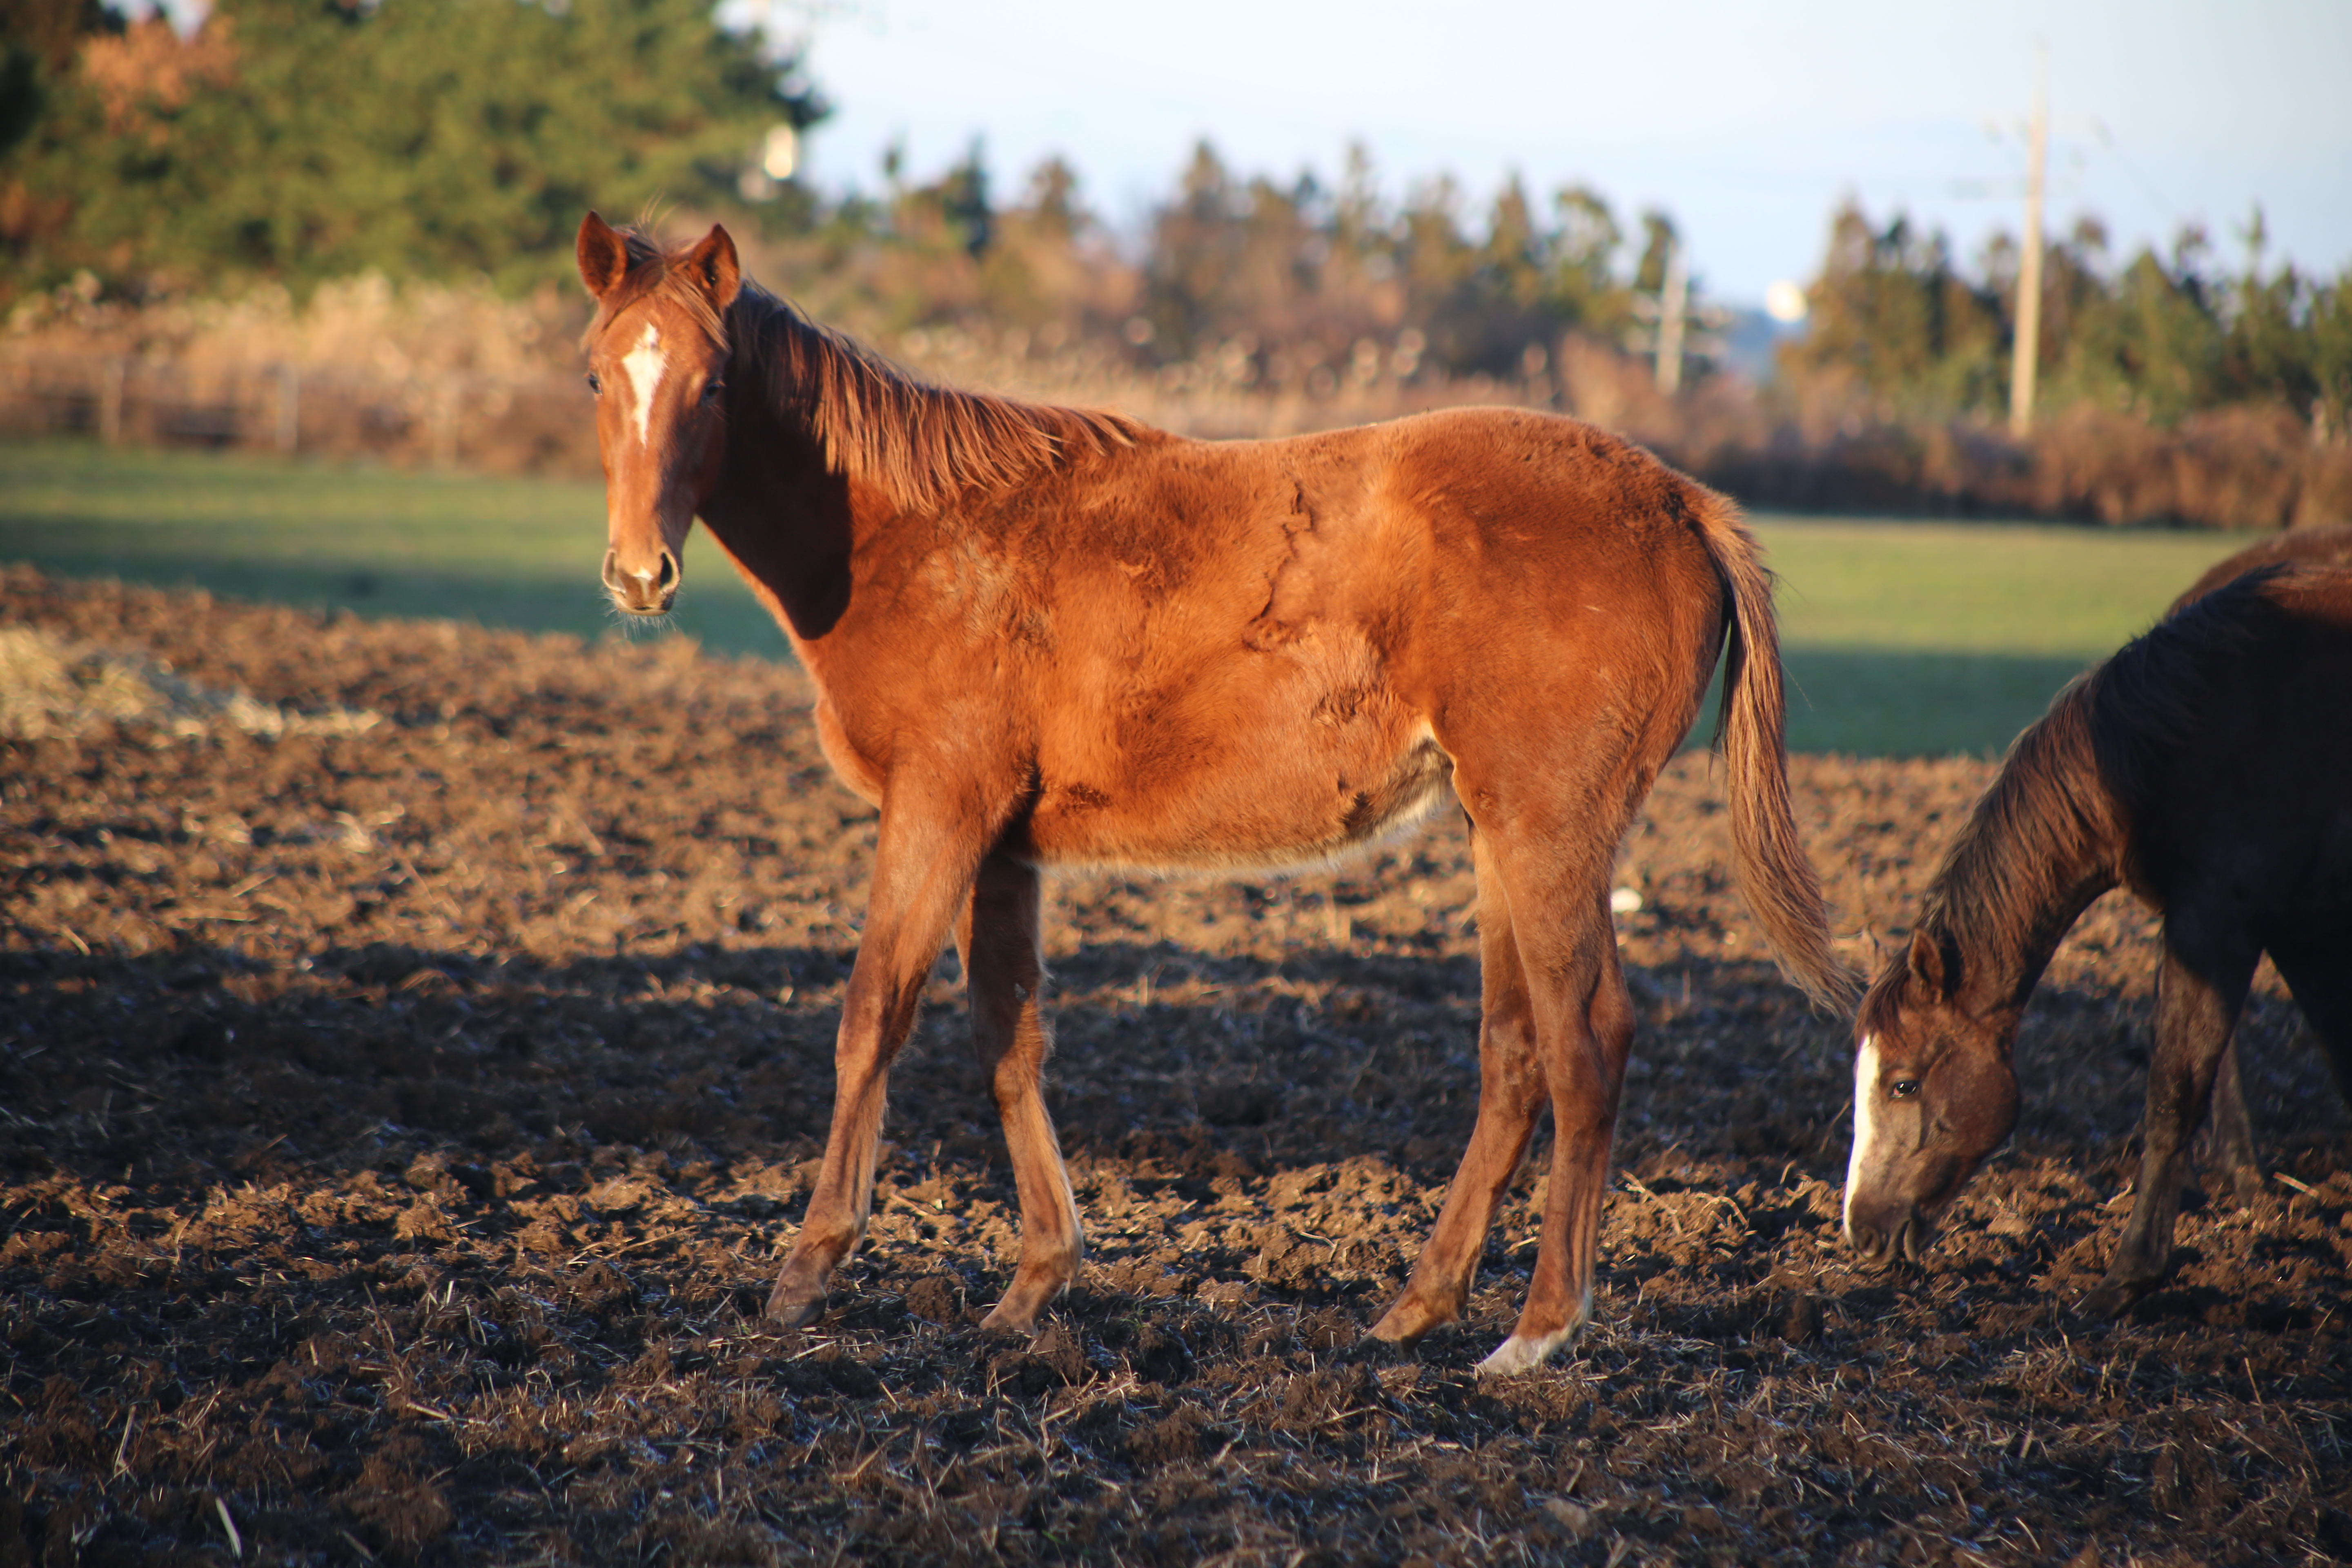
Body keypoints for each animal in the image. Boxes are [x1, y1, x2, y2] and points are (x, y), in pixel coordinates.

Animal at [574, 212, 1853, 1373]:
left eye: (715, 379)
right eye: (596, 371)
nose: (639, 576)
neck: (921, 537)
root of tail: (1683, 503)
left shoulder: (937, 807)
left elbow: (872, 1013)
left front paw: (806, 1272)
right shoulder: (1003, 843)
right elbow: (1008, 1036)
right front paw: (1032, 1286)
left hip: (1550, 830)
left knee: (1587, 1044)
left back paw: (1536, 1333)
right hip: (1501, 832)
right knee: (1515, 1054)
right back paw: (1416, 1308)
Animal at [1834, 564, 2352, 1316]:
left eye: (1902, 1084)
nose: (1861, 1230)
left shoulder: (2214, 924)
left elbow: (2173, 1092)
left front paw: (2129, 1276)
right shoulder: (2304, 938)